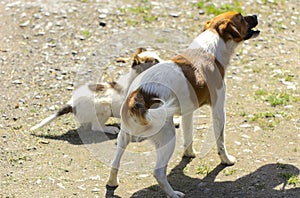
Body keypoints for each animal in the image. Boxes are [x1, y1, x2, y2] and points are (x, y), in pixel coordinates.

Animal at [108, 11, 260, 197]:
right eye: (242, 17)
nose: (255, 15)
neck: (208, 50)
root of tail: (138, 95)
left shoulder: (188, 112)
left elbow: (188, 135)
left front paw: (189, 153)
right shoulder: (218, 110)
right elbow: (220, 141)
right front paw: (226, 160)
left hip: (124, 136)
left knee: (115, 163)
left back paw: (112, 182)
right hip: (167, 138)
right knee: (158, 173)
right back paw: (173, 193)